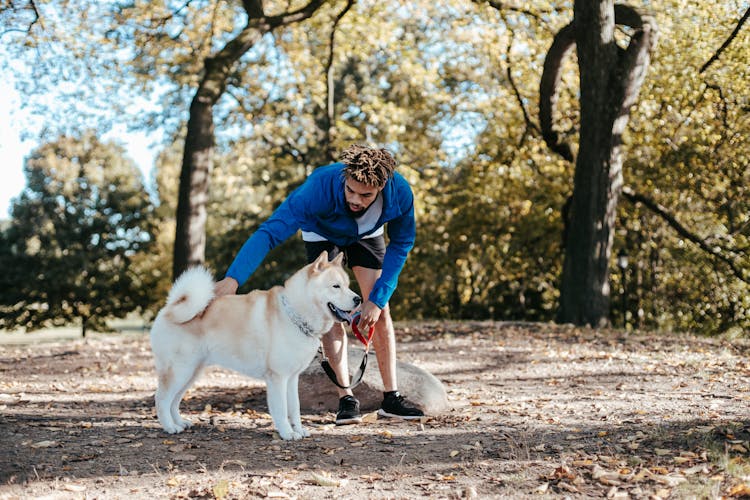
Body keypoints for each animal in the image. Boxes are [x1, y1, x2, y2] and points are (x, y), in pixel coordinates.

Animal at [150, 252, 362, 440]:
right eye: (336, 286)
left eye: (348, 286)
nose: (358, 299)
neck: (295, 314)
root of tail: (170, 307)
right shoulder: (277, 378)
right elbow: (282, 410)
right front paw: (287, 434)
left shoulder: (292, 378)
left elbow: (294, 408)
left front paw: (299, 430)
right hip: (180, 371)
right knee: (162, 400)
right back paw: (169, 427)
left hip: (191, 373)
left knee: (174, 401)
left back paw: (179, 423)